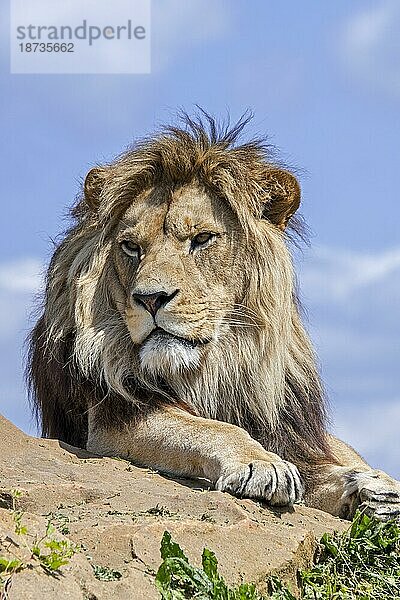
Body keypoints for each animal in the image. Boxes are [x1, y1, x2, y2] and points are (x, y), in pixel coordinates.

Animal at [28, 112, 400, 520]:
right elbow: (209, 428)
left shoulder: (297, 442)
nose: (150, 298)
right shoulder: (113, 421)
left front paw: (366, 488)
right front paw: (261, 465)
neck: (213, 368)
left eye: (202, 239)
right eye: (130, 247)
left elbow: (322, 470)